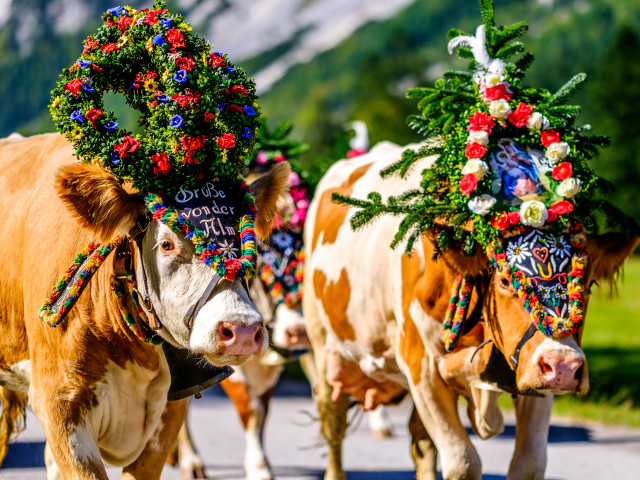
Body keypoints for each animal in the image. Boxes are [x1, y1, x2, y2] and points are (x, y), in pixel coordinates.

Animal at [302, 142, 636, 480]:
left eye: (588, 285)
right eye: (505, 280)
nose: (564, 366)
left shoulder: (533, 377)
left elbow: (528, 462)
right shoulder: (420, 367)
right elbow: (463, 461)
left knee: (419, 441)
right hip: (320, 341)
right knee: (333, 421)